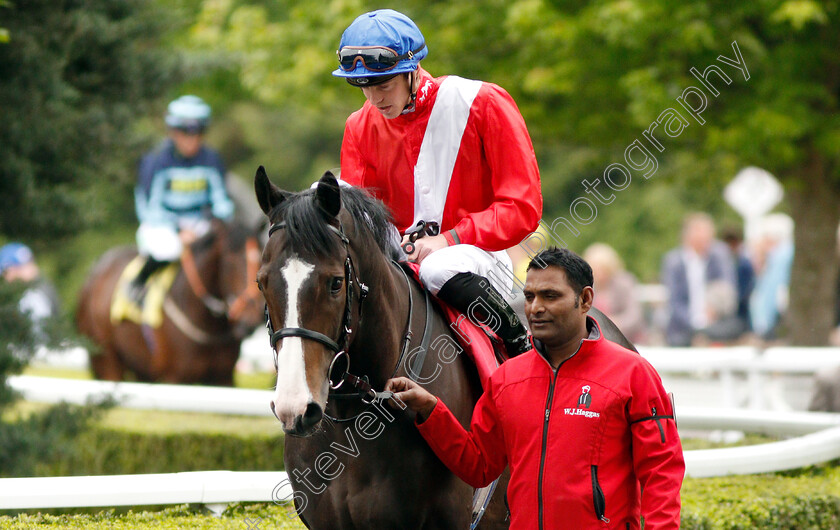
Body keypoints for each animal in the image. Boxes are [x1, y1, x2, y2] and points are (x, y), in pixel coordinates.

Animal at [78, 219, 266, 384]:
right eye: (230, 260)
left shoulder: (224, 378)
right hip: (107, 361)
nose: (250, 318)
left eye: (261, 259)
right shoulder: (173, 378)